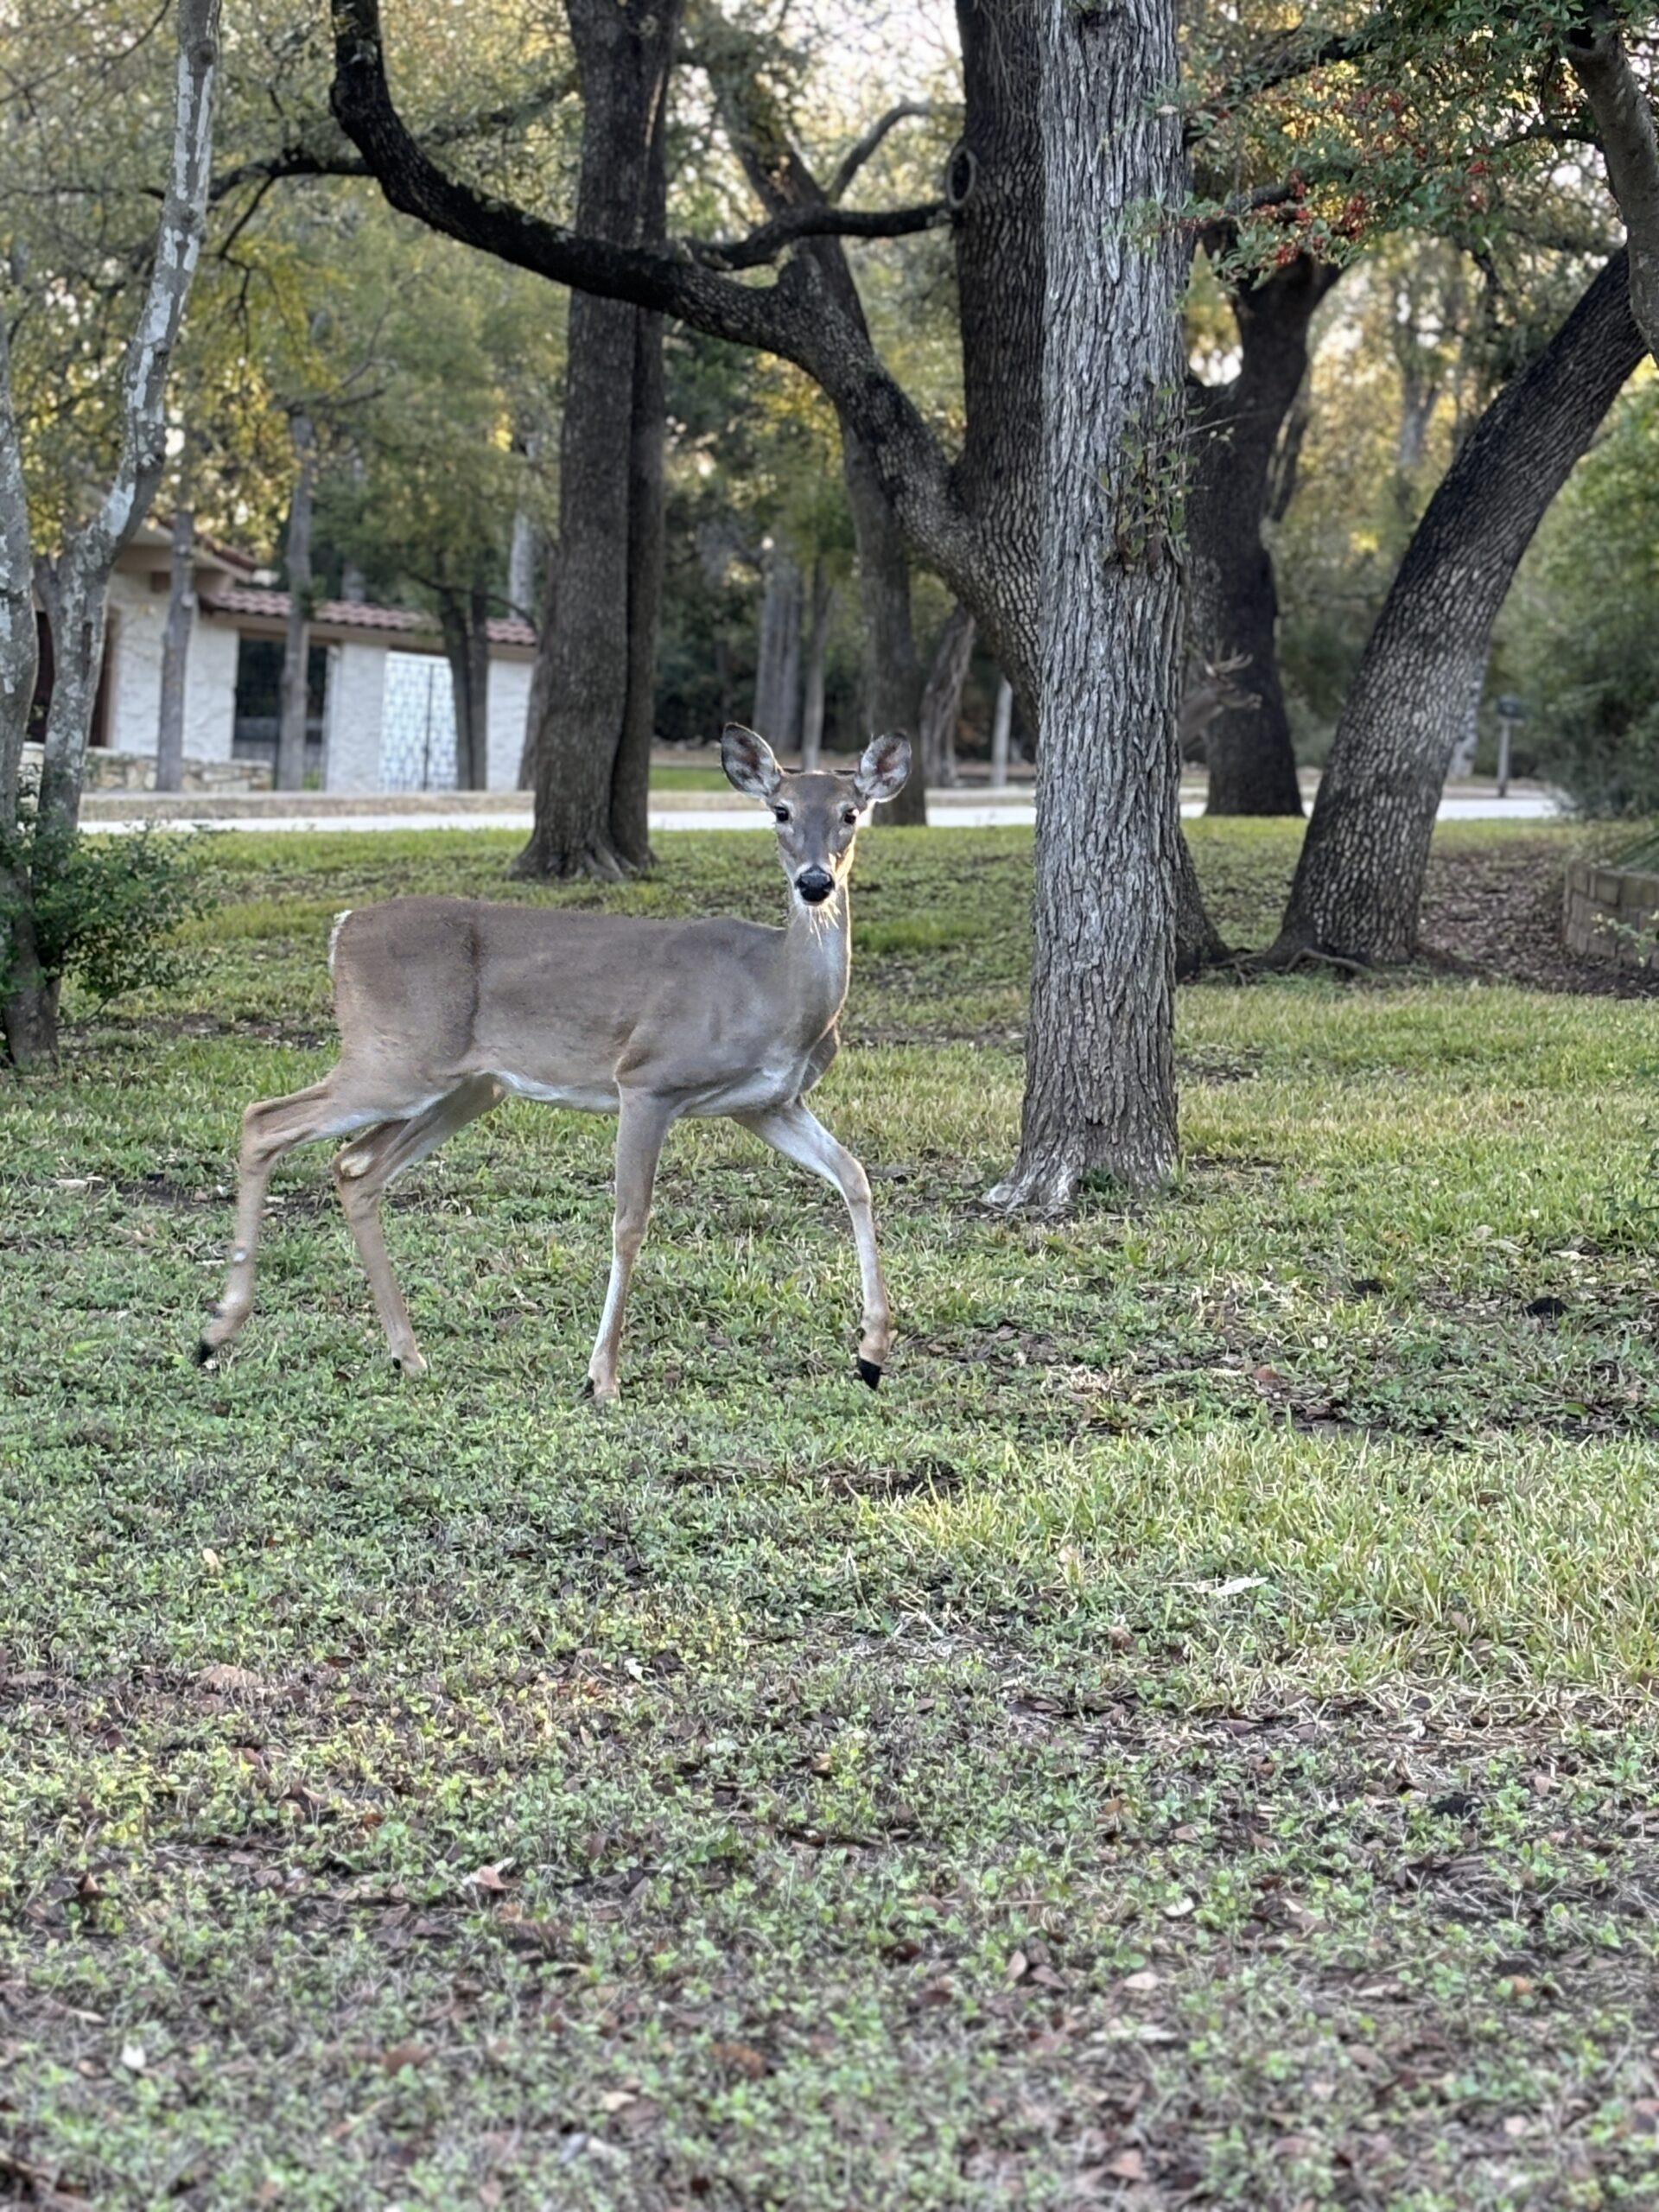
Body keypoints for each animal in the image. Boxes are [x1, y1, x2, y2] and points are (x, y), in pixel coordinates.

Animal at [203, 734, 925, 1407]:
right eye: (780, 811)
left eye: (852, 812)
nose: (815, 883)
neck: (776, 990)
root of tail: (341, 928)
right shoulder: (648, 1079)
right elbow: (630, 1222)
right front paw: (601, 1376)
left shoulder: (767, 1104)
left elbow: (855, 1176)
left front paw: (872, 1353)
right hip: (397, 1060)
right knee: (264, 1119)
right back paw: (217, 1332)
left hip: (465, 1087)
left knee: (354, 1167)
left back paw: (405, 1354)